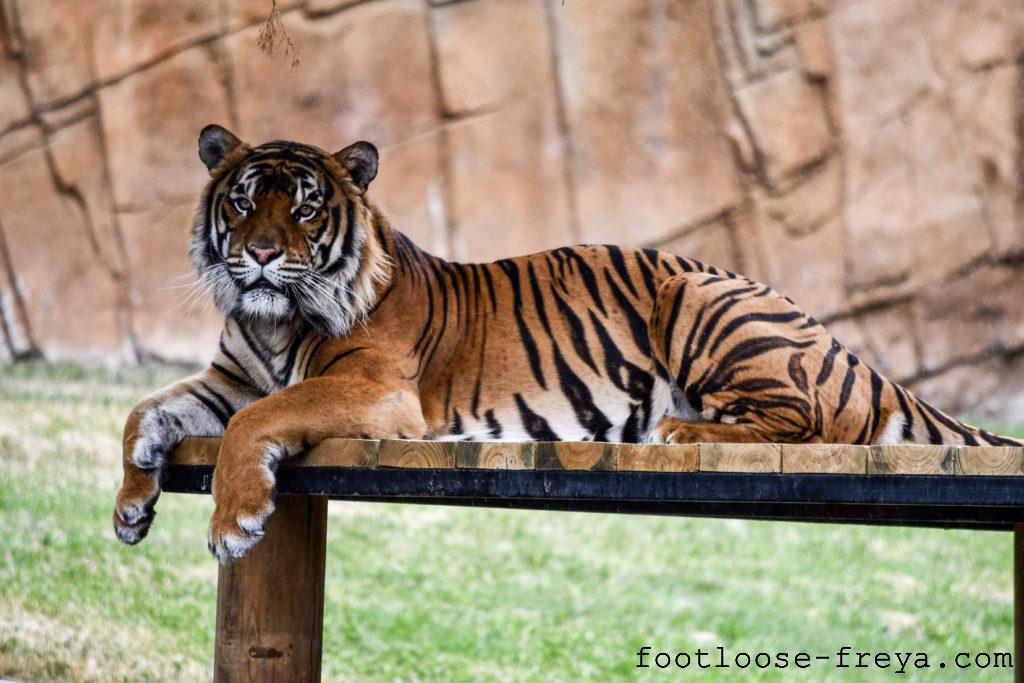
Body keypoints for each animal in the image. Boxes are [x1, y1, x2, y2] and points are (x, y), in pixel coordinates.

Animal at [112, 125, 1024, 565]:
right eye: (241, 202)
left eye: (303, 206)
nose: (262, 255)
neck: (272, 318)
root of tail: (847, 345)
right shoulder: (228, 375)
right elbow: (143, 411)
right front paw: (130, 503)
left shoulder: (375, 389)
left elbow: (257, 421)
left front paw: (234, 523)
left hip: (700, 296)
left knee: (804, 421)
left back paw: (678, 430)